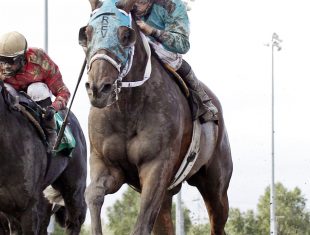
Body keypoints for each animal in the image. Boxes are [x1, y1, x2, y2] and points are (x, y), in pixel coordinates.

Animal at [82, 0, 232, 235]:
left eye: (126, 35)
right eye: (86, 33)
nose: (98, 88)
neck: (127, 111)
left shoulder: (157, 168)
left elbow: (141, 225)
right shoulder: (104, 163)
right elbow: (93, 194)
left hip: (215, 185)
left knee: (217, 221)